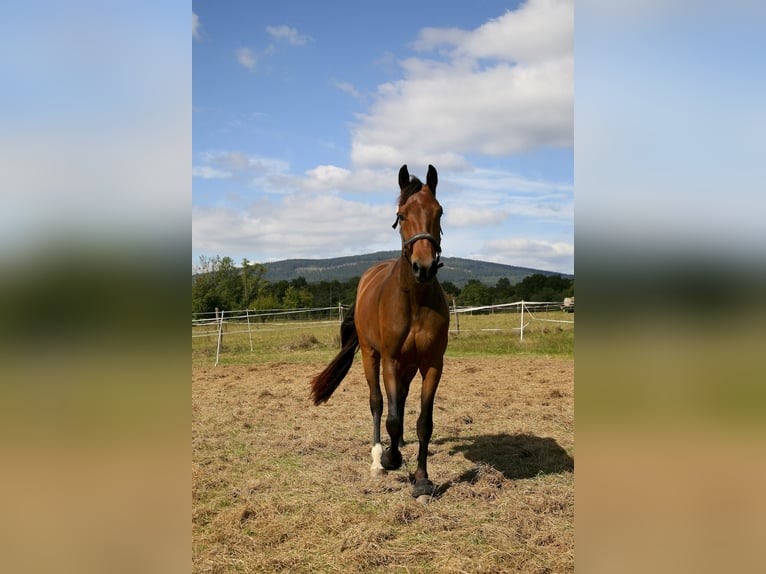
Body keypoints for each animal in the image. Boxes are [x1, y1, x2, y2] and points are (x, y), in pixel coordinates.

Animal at [310, 163, 452, 500]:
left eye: (439, 211)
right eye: (401, 214)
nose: (423, 267)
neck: (414, 301)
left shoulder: (432, 365)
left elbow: (423, 422)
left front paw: (422, 480)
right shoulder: (388, 359)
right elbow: (391, 417)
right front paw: (389, 458)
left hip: (409, 366)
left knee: (400, 398)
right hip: (370, 355)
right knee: (377, 401)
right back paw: (379, 457)